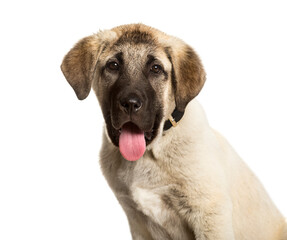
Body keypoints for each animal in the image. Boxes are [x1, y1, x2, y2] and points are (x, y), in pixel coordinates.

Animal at [60, 23, 286, 240]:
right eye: (113, 65)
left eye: (156, 68)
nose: (130, 103)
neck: (150, 154)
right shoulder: (137, 220)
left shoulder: (209, 214)